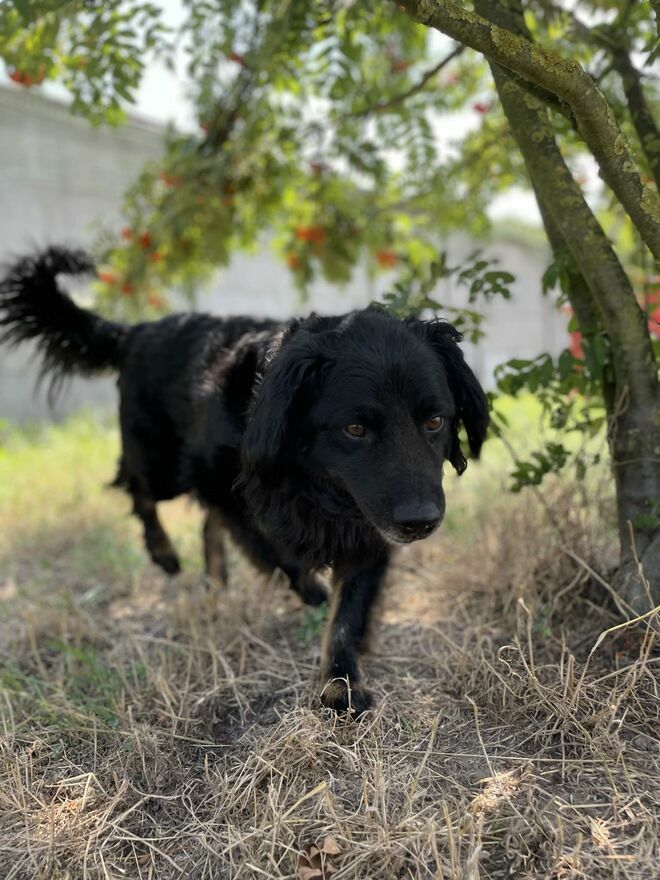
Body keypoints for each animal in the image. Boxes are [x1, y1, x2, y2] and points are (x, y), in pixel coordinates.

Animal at [0, 246, 489, 713]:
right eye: (355, 429)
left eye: (435, 421)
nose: (421, 522)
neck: (313, 480)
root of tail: (138, 330)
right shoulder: (227, 484)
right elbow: (271, 550)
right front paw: (308, 587)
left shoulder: (368, 528)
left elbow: (346, 613)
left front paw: (340, 684)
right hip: (164, 467)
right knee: (139, 489)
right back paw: (164, 553)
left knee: (202, 522)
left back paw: (216, 580)